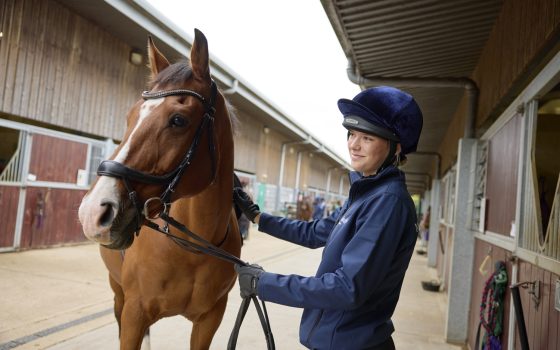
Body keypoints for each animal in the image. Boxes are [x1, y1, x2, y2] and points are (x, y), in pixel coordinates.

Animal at [77, 30, 241, 350]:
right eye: (130, 116)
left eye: (178, 120)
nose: (93, 212)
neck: (190, 249)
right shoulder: (134, 314)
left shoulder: (210, 319)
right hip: (118, 294)